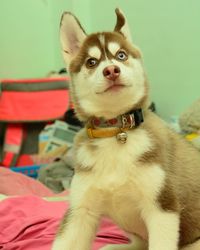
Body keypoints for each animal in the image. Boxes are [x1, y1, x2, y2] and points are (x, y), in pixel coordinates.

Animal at [52, 7, 200, 250]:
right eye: (91, 62)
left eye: (121, 55)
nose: (112, 70)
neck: (115, 131)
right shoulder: (80, 210)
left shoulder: (162, 207)